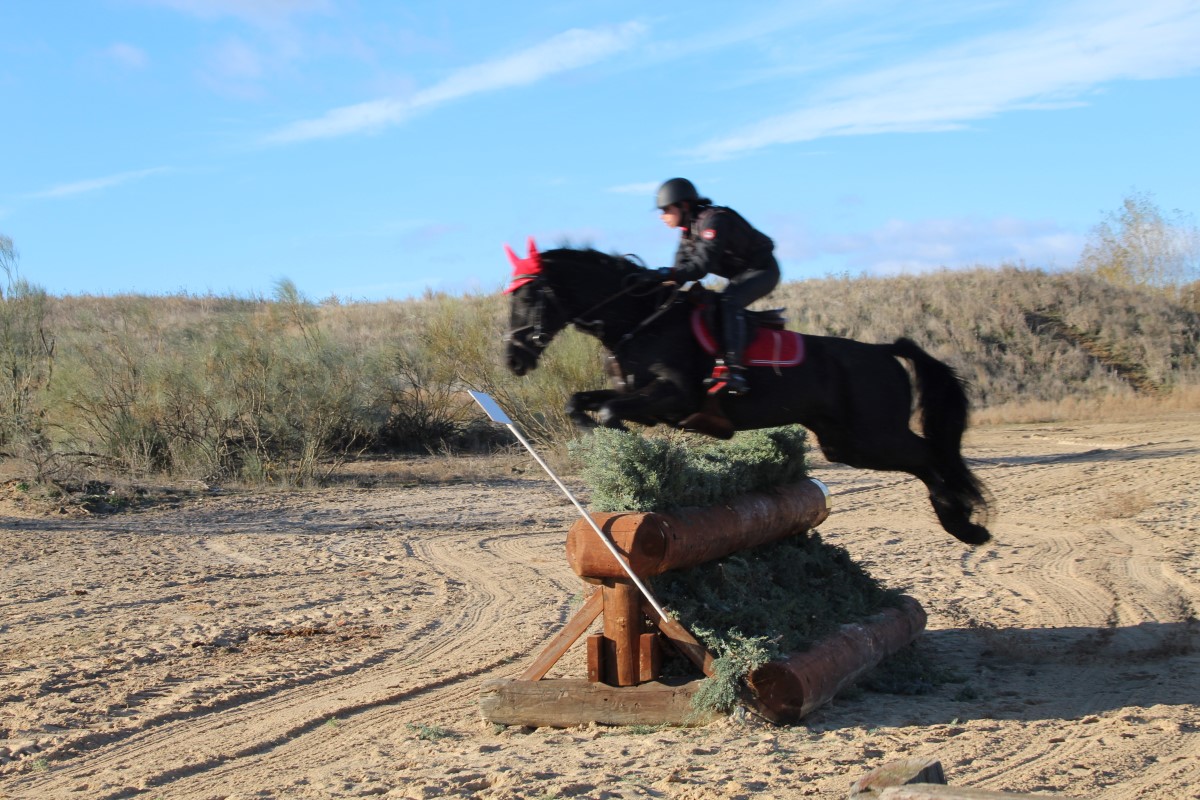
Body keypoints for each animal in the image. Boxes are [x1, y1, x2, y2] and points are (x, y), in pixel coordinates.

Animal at [502, 239, 991, 545]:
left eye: (527, 297)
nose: (513, 359)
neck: (641, 321)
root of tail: (882, 350)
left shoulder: (673, 399)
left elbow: (606, 412)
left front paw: (620, 443)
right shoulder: (642, 400)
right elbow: (580, 403)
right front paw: (607, 442)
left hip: (874, 433)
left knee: (931, 456)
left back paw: (964, 524)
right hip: (846, 444)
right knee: (925, 460)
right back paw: (963, 523)